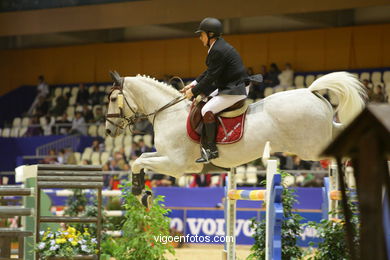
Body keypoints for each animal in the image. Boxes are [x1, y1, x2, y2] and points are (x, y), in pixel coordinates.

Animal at [106, 71, 366, 201]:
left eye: (112, 98)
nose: (108, 130)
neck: (168, 111)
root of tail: (311, 91)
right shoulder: (169, 159)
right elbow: (139, 160)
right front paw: (142, 190)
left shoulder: (174, 164)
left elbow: (138, 160)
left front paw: (139, 192)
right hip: (323, 134)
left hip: (312, 147)